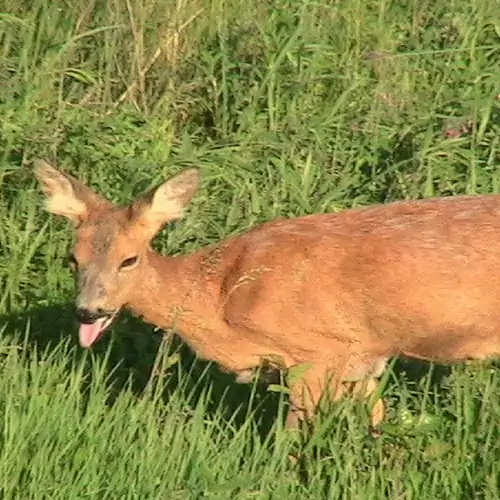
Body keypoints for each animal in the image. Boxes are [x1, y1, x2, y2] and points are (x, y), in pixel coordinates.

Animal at [34, 158, 500, 432]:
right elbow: (376, 421)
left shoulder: (316, 354)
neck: (220, 295)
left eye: (129, 260)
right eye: (72, 258)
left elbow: (293, 440)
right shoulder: (364, 355)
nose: (88, 311)